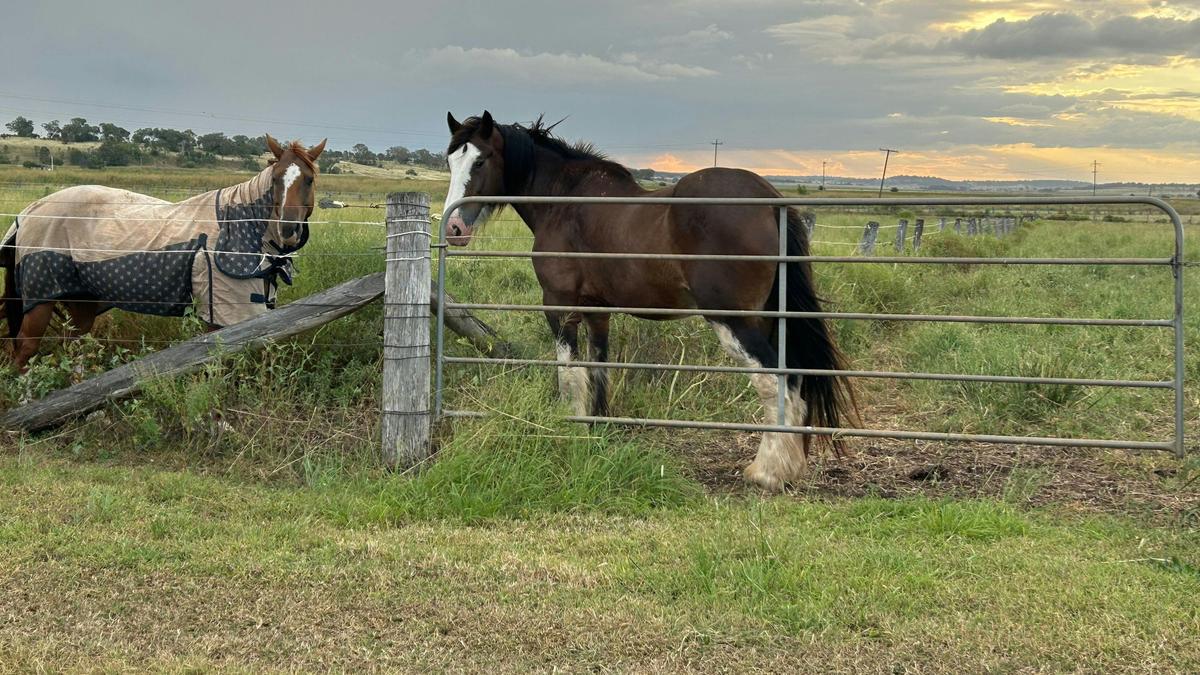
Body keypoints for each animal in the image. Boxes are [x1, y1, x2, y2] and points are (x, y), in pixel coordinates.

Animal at [1, 135, 325, 372]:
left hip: (81, 303)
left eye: (308, 180)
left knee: (73, 346)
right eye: (276, 179)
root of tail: (30, 211)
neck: (237, 225)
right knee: (25, 350)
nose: (288, 229)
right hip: (40, 303)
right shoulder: (219, 315)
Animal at [442, 111, 855, 492]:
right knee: (793, 381)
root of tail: (769, 200)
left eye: (480, 160)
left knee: (776, 382)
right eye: (451, 161)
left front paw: (571, 427)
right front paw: (599, 428)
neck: (564, 200)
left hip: (734, 321)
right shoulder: (597, 313)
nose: (454, 229)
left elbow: (569, 375)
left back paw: (768, 472)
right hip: (768, 319)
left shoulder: (560, 308)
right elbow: (599, 368)